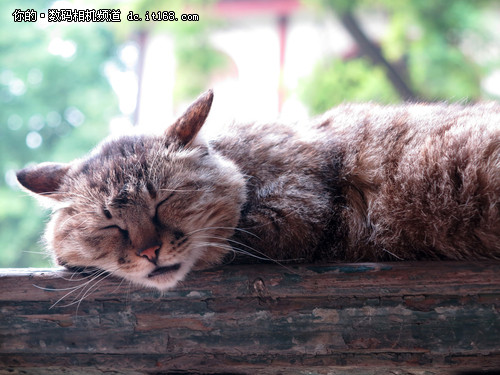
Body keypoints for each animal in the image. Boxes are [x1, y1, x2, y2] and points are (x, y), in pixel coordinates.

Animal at [15, 90, 500, 290]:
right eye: (108, 224)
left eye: (164, 201)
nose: (148, 251)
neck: (241, 159)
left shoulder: (297, 210)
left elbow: (224, 241)